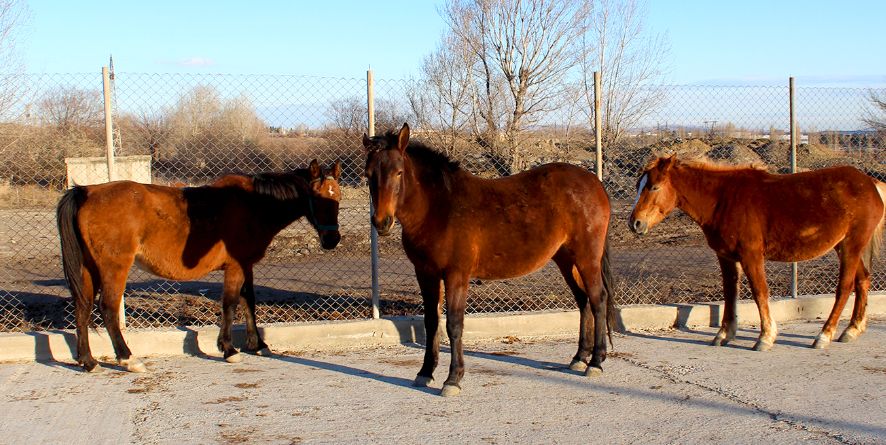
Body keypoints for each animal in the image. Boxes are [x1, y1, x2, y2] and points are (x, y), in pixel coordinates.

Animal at [58, 159, 344, 372]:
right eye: (317, 198)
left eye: (337, 197)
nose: (332, 240)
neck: (253, 204)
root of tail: (86, 192)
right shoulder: (235, 267)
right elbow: (230, 304)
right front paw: (228, 349)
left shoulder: (246, 265)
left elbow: (248, 301)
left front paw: (257, 344)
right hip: (114, 268)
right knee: (107, 309)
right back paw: (128, 359)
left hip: (89, 269)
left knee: (82, 308)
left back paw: (88, 361)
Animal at [364, 122, 612, 396]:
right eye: (368, 175)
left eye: (398, 172)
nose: (381, 222)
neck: (440, 208)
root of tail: (595, 183)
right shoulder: (425, 273)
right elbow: (431, 322)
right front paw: (425, 373)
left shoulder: (456, 275)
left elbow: (454, 325)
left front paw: (453, 379)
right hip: (567, 260)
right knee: (583, 300)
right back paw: (579, 358)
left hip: (587, 258)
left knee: (598, 300)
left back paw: (596, 362)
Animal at [628, 156, 884, 350]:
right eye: (639, 186)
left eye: (654, 187)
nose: (635, 223)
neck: (723, 199)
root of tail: (871, 183)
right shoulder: (726, 257)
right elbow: (730, 293)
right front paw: (724, 334)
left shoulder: (751, 256)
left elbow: (760, 292)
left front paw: (765, 337)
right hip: (845, 247)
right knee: (862, 280)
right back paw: (852, 329)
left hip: (851, 246)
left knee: (845, 287)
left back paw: (824, 335)